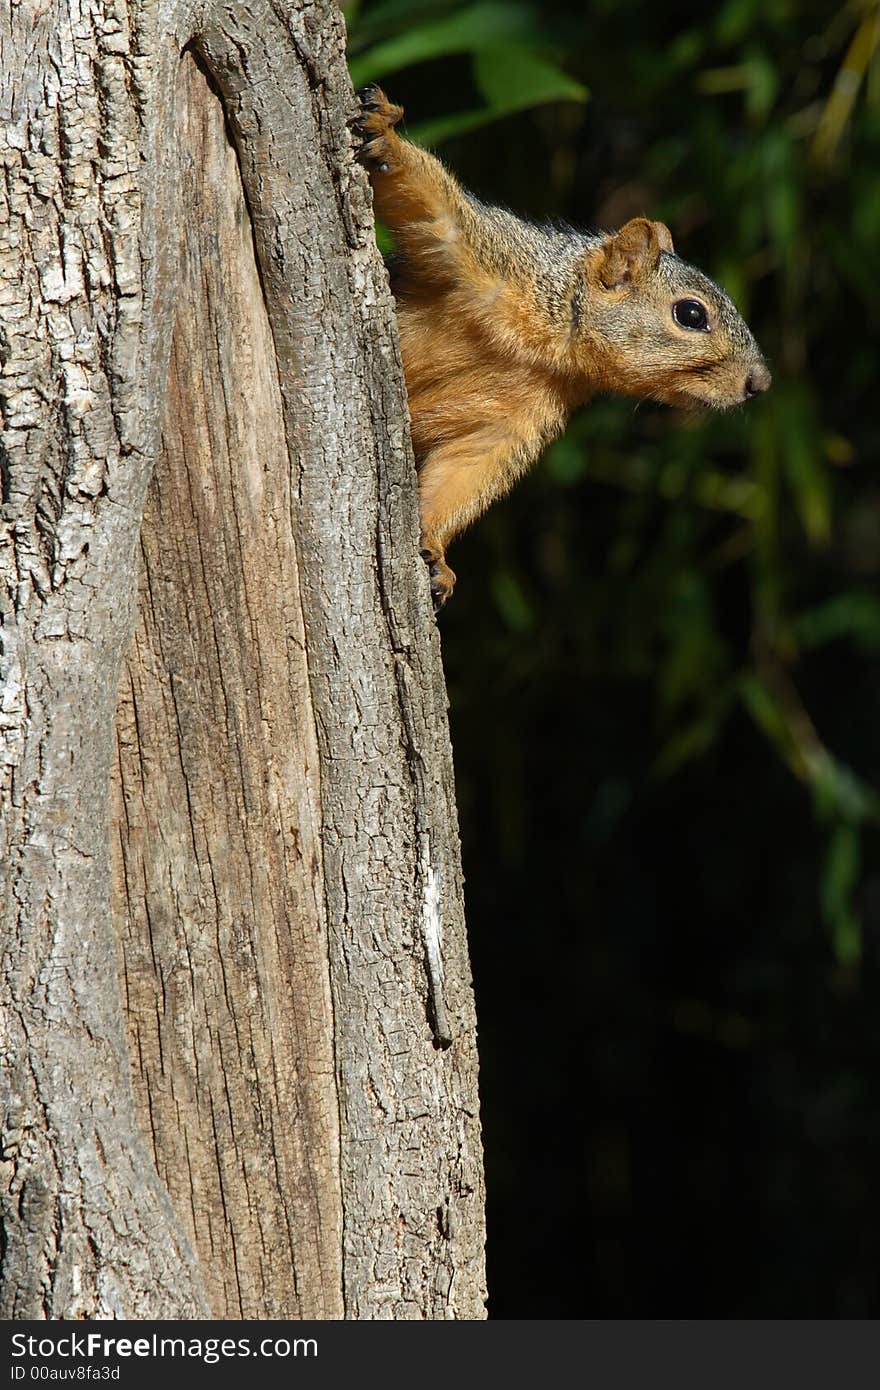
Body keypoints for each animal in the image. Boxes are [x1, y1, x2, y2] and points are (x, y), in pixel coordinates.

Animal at [351, 84, 767, 606]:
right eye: (691, 314)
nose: (761, 383)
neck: (549, 348)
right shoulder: (486, 256)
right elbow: (433, 208)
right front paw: (386, 134)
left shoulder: (512, 423)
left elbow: (463, 473)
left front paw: (435, 552)